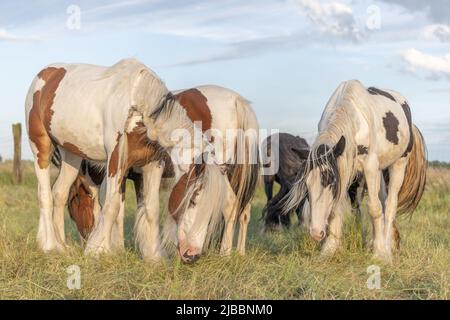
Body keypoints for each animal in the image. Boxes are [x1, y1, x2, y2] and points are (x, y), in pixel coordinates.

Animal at [284, 79, 428, 262]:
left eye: (331, 182)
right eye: (307, 187)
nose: (316, 233)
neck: (354, 118)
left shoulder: (369, 166)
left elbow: (374, 208)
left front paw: (380, 253)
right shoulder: (346, 166)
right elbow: (340, 207)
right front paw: (330, 248)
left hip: (398, 164)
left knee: (389, 204)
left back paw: (387, 245)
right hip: (378, 171)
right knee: (381, 199)